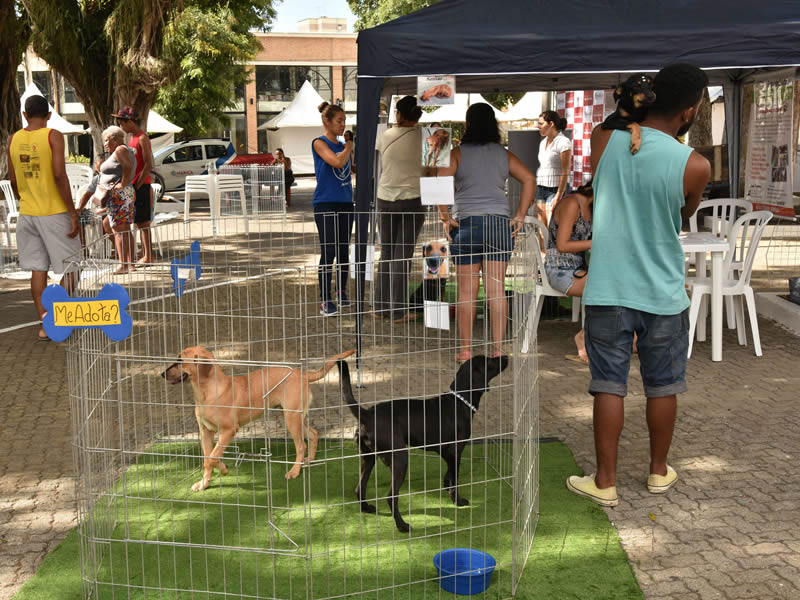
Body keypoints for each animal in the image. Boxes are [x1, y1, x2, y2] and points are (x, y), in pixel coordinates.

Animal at [162, 346, 355, 490]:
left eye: (180, 360)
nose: (162, 374)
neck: (208, 392)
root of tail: (301, 373)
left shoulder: (228, 431)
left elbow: (212, 457)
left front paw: (223, 469)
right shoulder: (206, 432)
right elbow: (208, 459)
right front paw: (204, 483)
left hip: (291, 418)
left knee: (302, 445)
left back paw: (295, 471)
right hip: (293, 415)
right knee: (313, 434)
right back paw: (309, 460)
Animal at [339, 354, 509, 532]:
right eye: (489, 362)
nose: (505, 356)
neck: (460, 402)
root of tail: (367, 414)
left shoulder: (446, 452)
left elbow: (449, 474)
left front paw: (446, 485)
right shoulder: (455, 451)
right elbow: (455, 479)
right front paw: (458, 501)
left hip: (368, 457)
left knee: (360, 487)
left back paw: (366, 508)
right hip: (400, 458)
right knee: (391, 496)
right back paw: (402, 525)